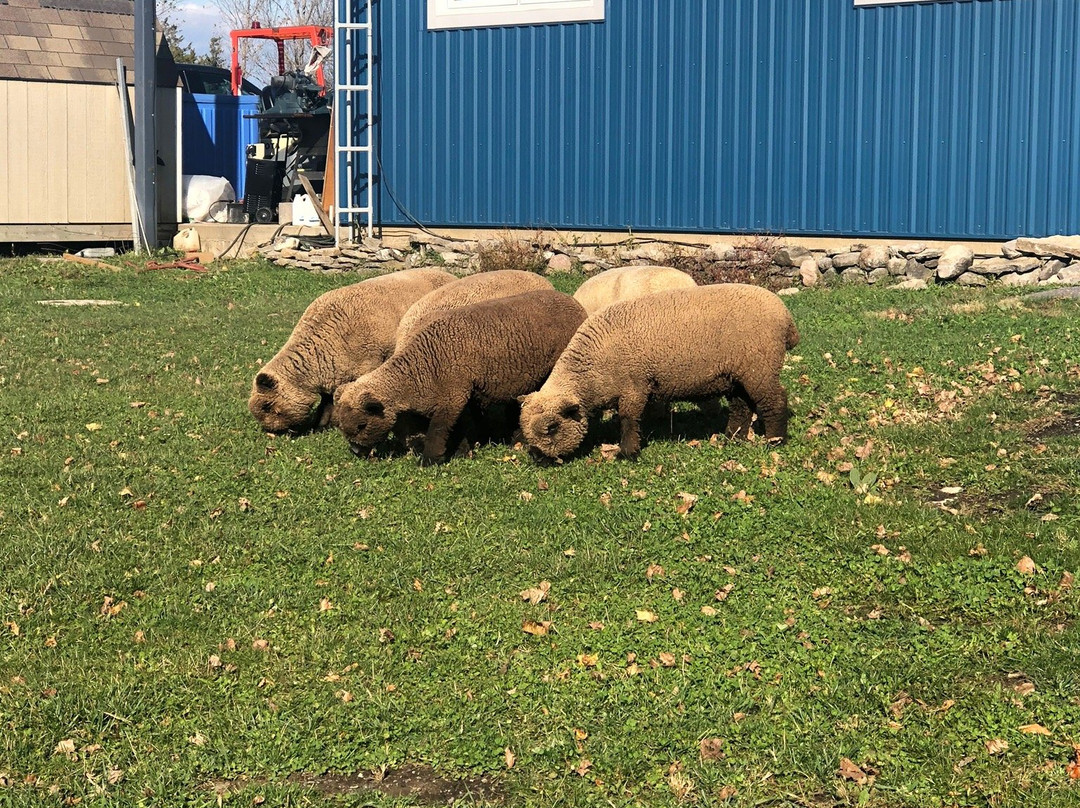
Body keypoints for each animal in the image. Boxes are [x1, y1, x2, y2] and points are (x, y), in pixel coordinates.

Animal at [248, 267, 455, 436]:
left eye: (267, 405)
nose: (272, 433)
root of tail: (447, 274)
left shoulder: (367, 367)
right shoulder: (332, 374)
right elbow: (326, 402)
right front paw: (321, 425)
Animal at [336, 289, 591, 466]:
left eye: (362, 425)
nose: (356, 452)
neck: (419, 368)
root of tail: (573, 301)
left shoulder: (452, 395)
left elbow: (438, 430)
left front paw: (429, 460)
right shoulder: (463, 393)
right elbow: (463, 424)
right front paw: (463, 451)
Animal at [518, 283, 799, 460]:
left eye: (552, 427)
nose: (538, 458)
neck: (592, 371)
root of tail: (786, 317)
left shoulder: (634, 385)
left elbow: (628, 419)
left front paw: (628, 452)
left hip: (760, 367)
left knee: (775, 400)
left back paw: (775, 441)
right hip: (736, 374)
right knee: (741, 406)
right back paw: (733, 437)